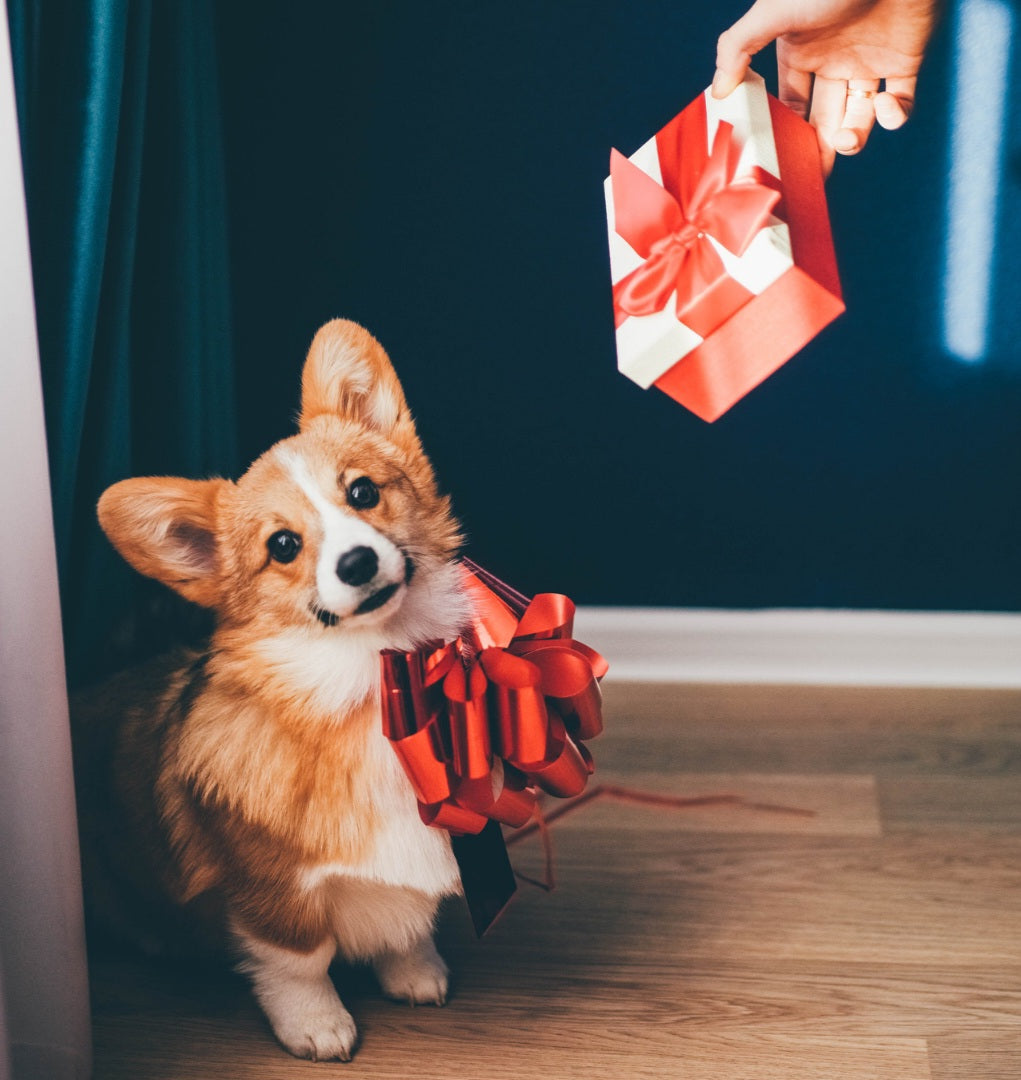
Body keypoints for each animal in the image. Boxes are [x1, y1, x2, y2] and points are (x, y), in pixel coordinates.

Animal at [80, 319, 473, 1062]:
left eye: (363, 492)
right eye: (283, 545)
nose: (357, 562)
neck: (366, 672)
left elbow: (407, 924)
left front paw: (415, 971)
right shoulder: (271, 891)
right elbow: (301, 962)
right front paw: (318, 1026)